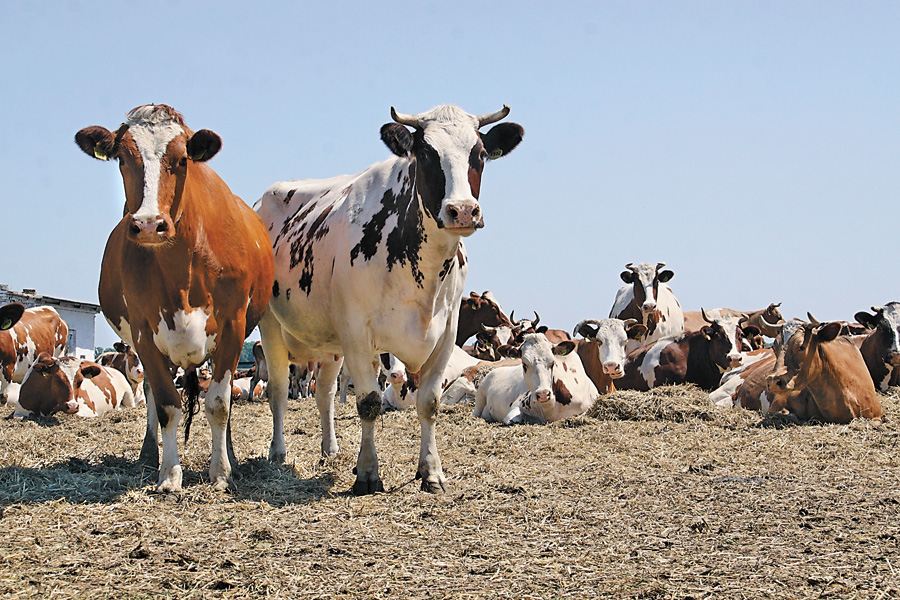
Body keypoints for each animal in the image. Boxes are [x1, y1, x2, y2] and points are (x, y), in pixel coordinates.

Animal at [76, 104, 274, 492]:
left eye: (182, 159)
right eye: (122, 158)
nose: (149, 225)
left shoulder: (233, 326)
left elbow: (219, 404)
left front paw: (222, 471)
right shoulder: (143, 332)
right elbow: (167, 404)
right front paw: (169, 474)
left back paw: (231, 456)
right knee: (153, 393)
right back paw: (148, 455)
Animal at [253, 105, 524, 494]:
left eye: (481, 154)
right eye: (425, 154)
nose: (462, 211)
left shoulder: (446, 332)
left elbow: (429, 402)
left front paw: (431, 472)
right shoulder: (356, 333)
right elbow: (368, 403)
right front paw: (367, 474)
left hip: (330, 347)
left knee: (324, 394)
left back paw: (330, 449)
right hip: (271, 326)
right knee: (276, 390)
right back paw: (278, 452)